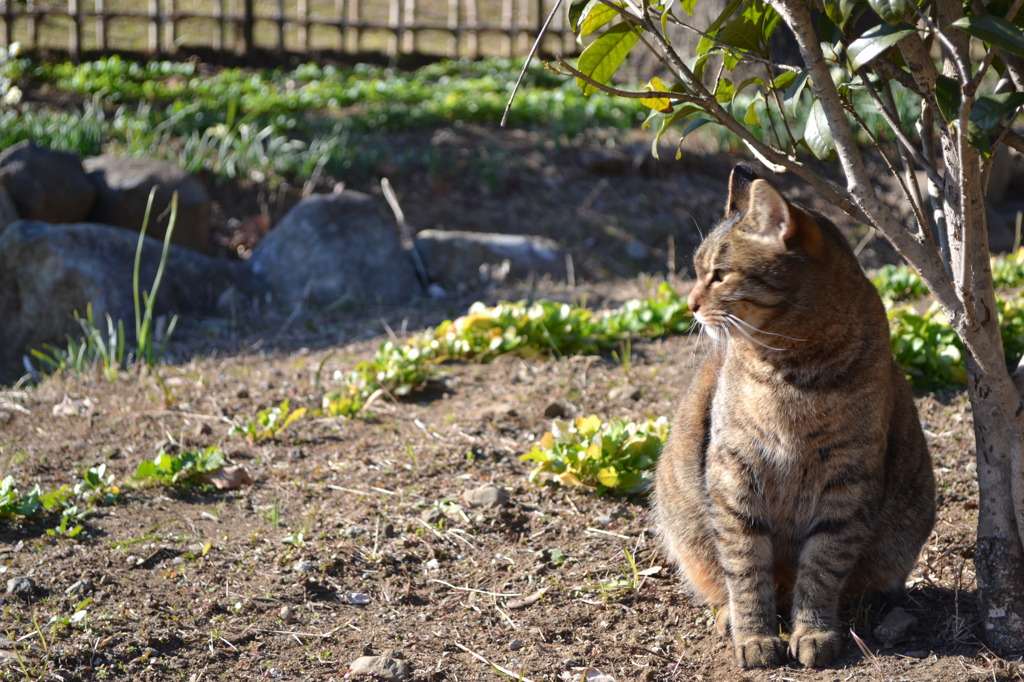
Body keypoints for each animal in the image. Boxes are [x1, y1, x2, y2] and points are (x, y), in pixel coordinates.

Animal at [655, 164, 937, 663]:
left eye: (719, 275)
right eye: (696, 271)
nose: (689, 304)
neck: (791, 373)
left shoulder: (848, 478)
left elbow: (823, 565)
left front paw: (814, 631)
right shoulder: (735, 470)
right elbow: (746, 565)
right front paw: (753, 636)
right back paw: (730, 617)